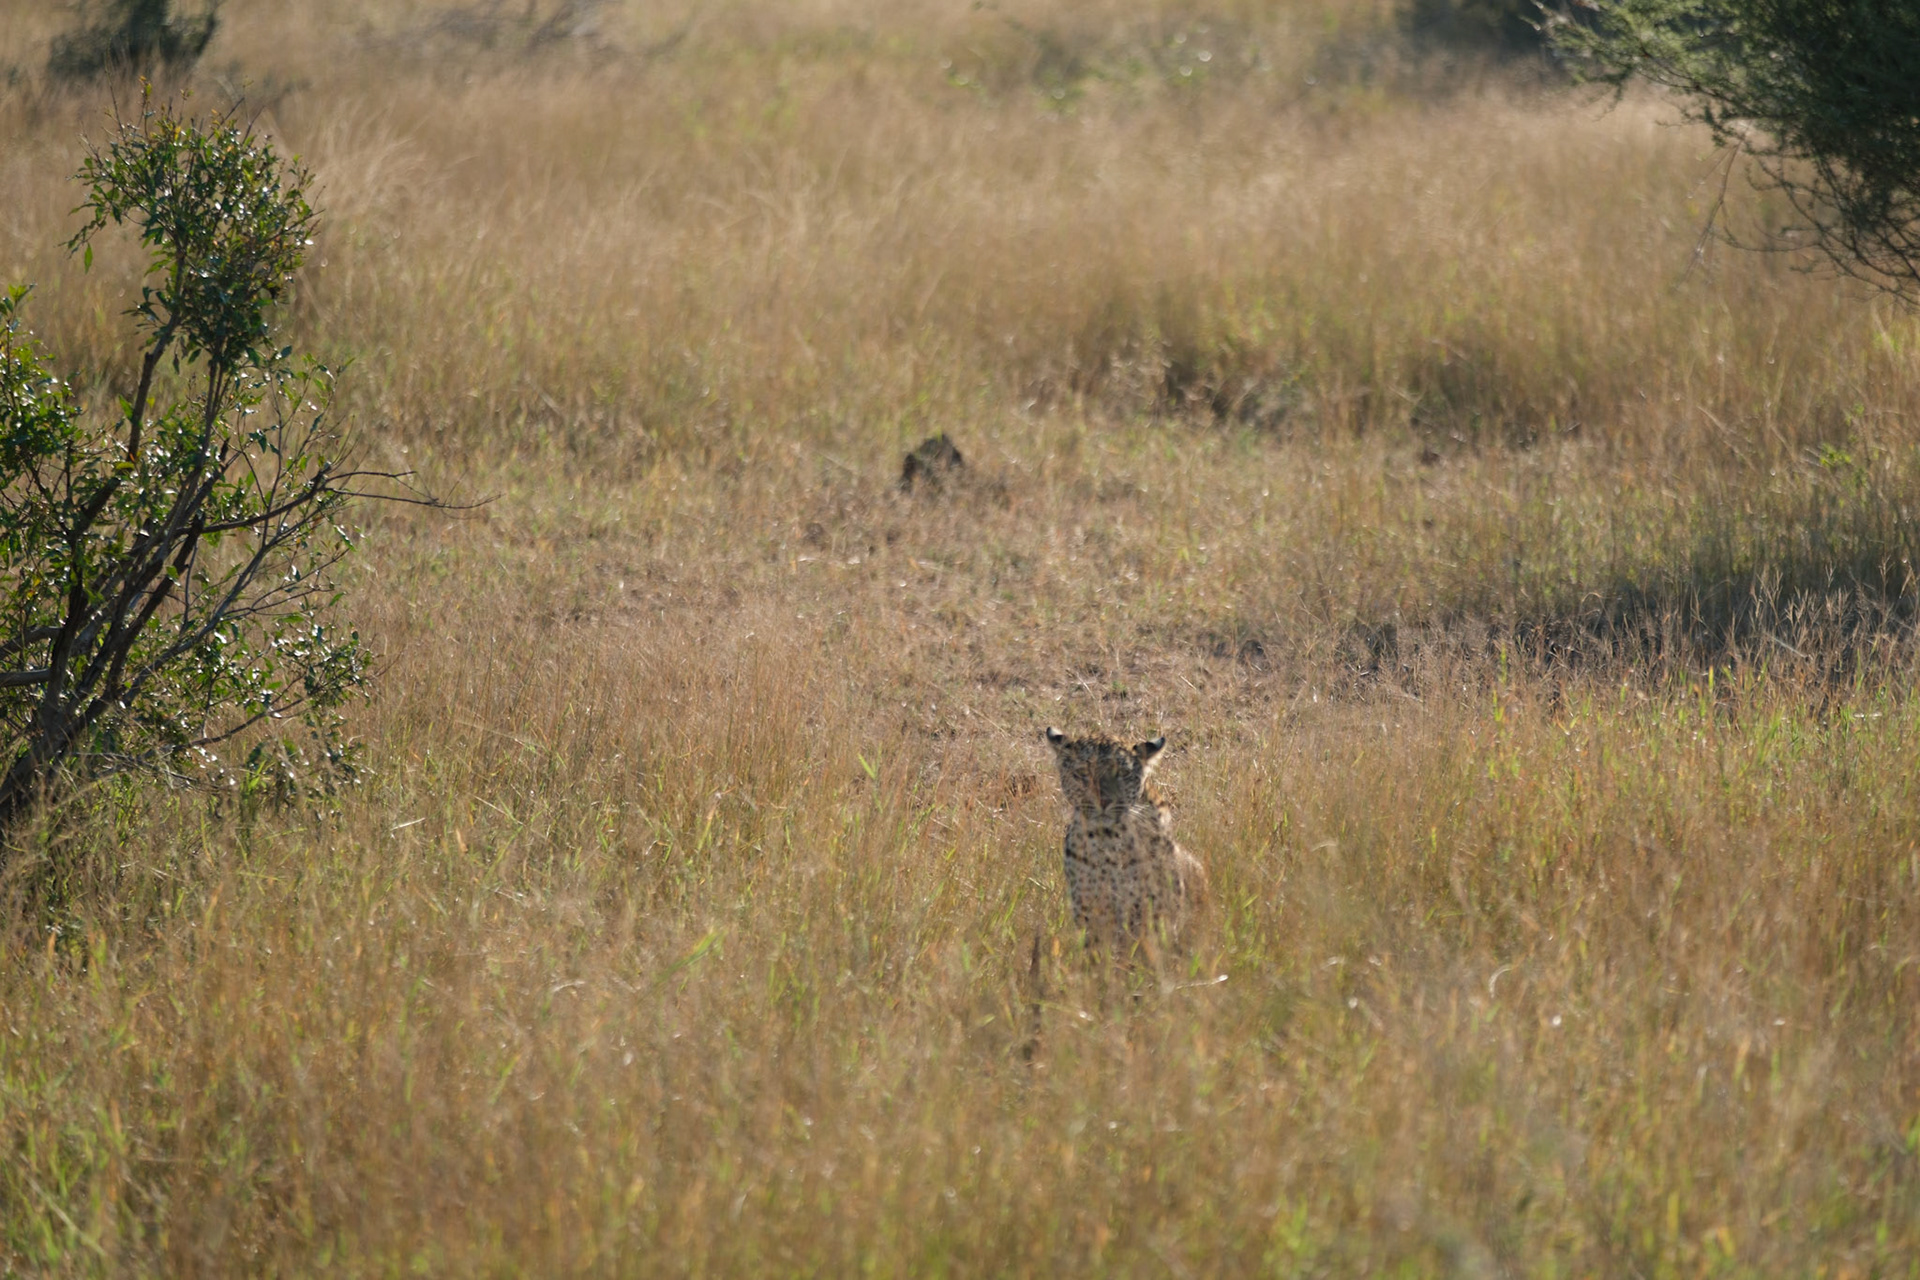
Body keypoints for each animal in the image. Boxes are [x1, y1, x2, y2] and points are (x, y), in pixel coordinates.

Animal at [1042, 727, 1207, 956]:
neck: (1105, 839)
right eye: (1082, 773)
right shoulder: (1087, 906)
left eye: (1122, 773)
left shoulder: (1148, 907)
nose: (1103, 801)